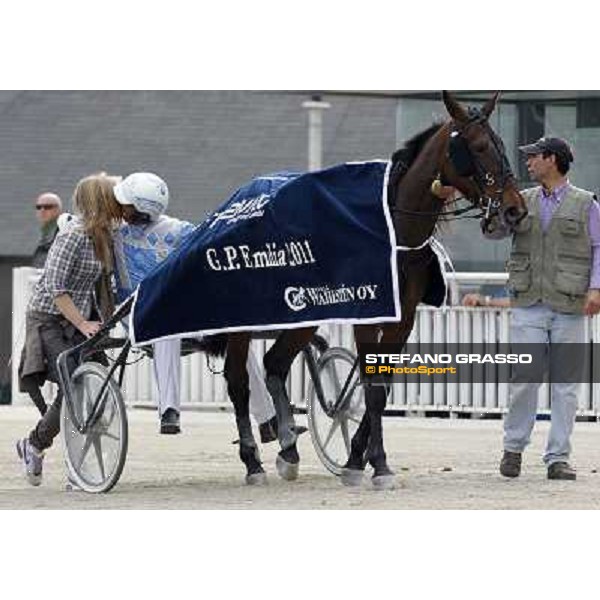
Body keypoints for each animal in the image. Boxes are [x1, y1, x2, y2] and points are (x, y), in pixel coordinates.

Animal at [221, 91, 524, 490]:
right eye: (477, 146)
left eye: (502, 144)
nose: (515, 209)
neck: (391, 233)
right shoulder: (366, 313)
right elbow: (371, 383)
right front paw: (377, 464)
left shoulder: (403, 317)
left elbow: (381, 383)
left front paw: (356, 459)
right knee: (238, 380)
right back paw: (252, 461)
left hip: (303, 314)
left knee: (275, 364)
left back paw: (288, 450)